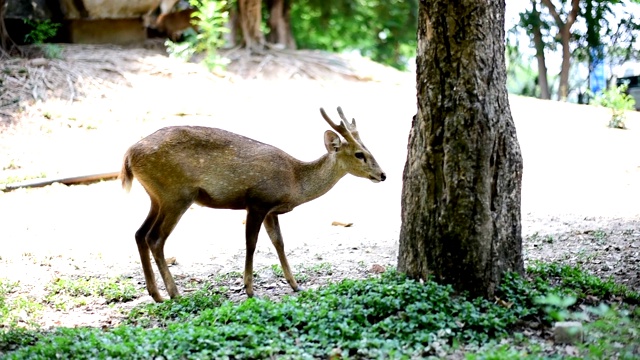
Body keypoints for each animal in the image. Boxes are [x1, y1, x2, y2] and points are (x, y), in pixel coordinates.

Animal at [122, 106, 388, 300]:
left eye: (369, 150)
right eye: (359, 154)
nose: (383, 174)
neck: (294, 181)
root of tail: (128, 155)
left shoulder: (272, 211)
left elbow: (279, 243)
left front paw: (295, 285)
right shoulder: (258, 200)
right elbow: (251, 243)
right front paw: (250, 289)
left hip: (157, 196)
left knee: (139, 233)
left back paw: (156, 294)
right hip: (177, 193)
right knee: (155, 238)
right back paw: (175, 293)